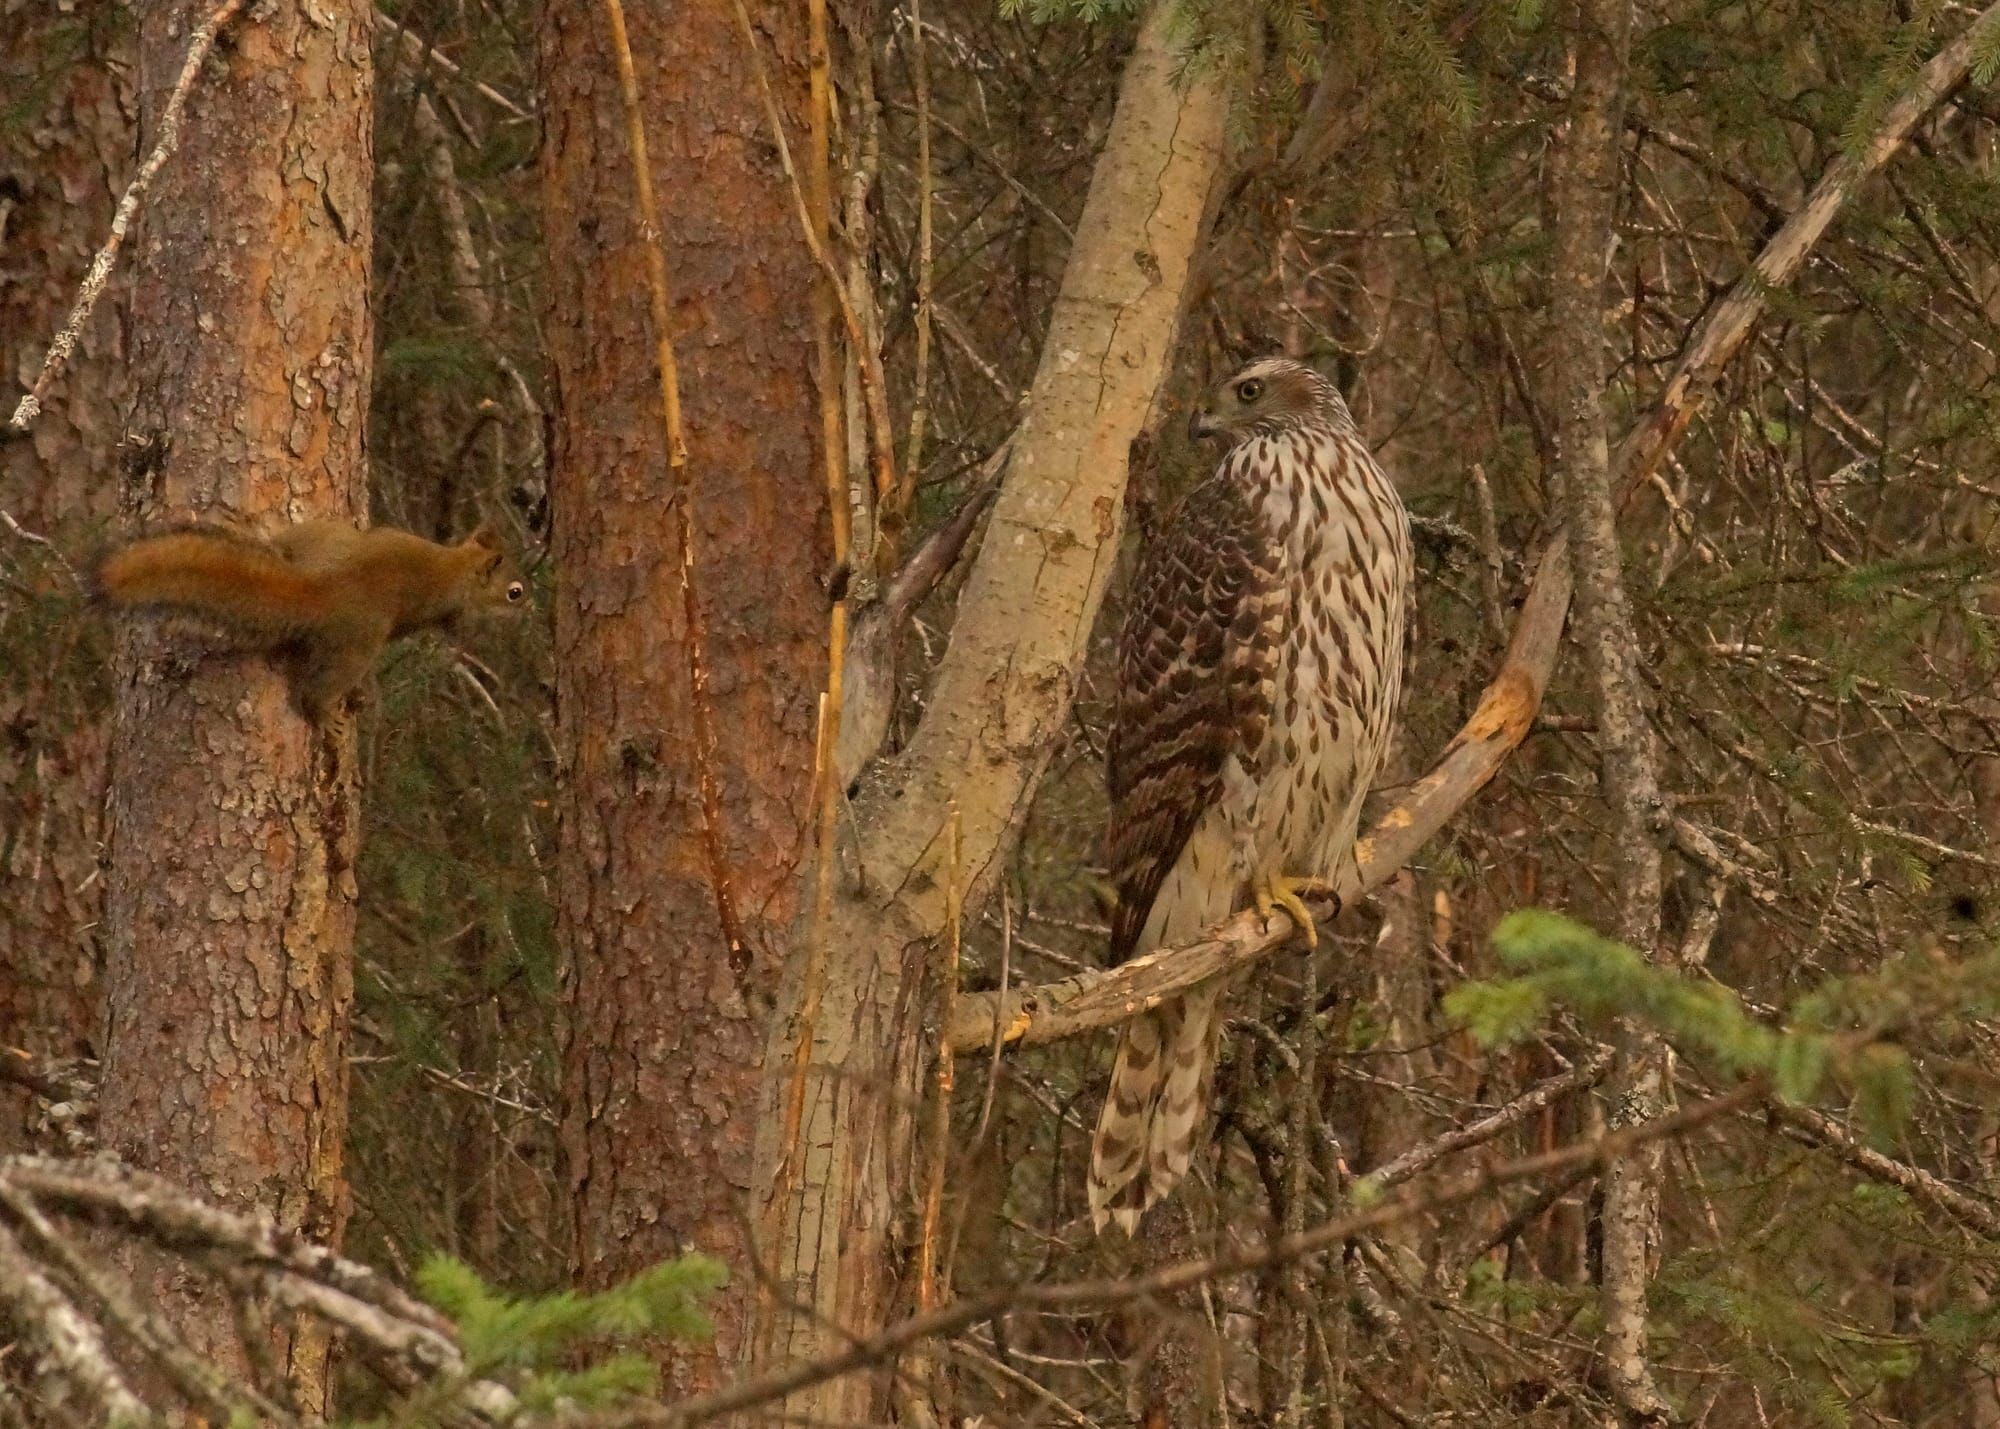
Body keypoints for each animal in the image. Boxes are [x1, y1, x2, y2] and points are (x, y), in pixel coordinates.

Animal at [93, 518, 527, 722]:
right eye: (514, 592)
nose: (530, 608)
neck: (460, 564)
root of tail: (320, 592)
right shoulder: (454, 608)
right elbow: (456, 628)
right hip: (355, 646)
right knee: (316, 691)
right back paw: (325, 719)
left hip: (322, 536)